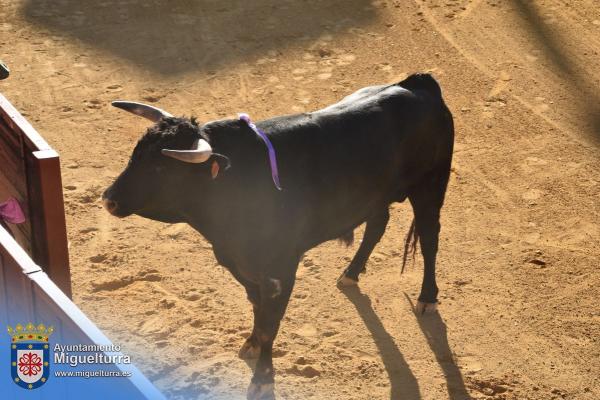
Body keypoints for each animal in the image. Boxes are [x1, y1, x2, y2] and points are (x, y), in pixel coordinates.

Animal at [102, 73, 454, 398]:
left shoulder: (281, 272)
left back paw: (427, 298)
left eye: (162, 169)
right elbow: (258, 313)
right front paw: (251, 344)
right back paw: (351, 274)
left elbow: (271, 324)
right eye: (135, 154)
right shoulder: (243, 268)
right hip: (375, 196)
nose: (109, 199)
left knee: (430, 237)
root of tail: (419, 84)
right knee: (377, 224)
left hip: (430, 185)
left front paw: (262, 378)